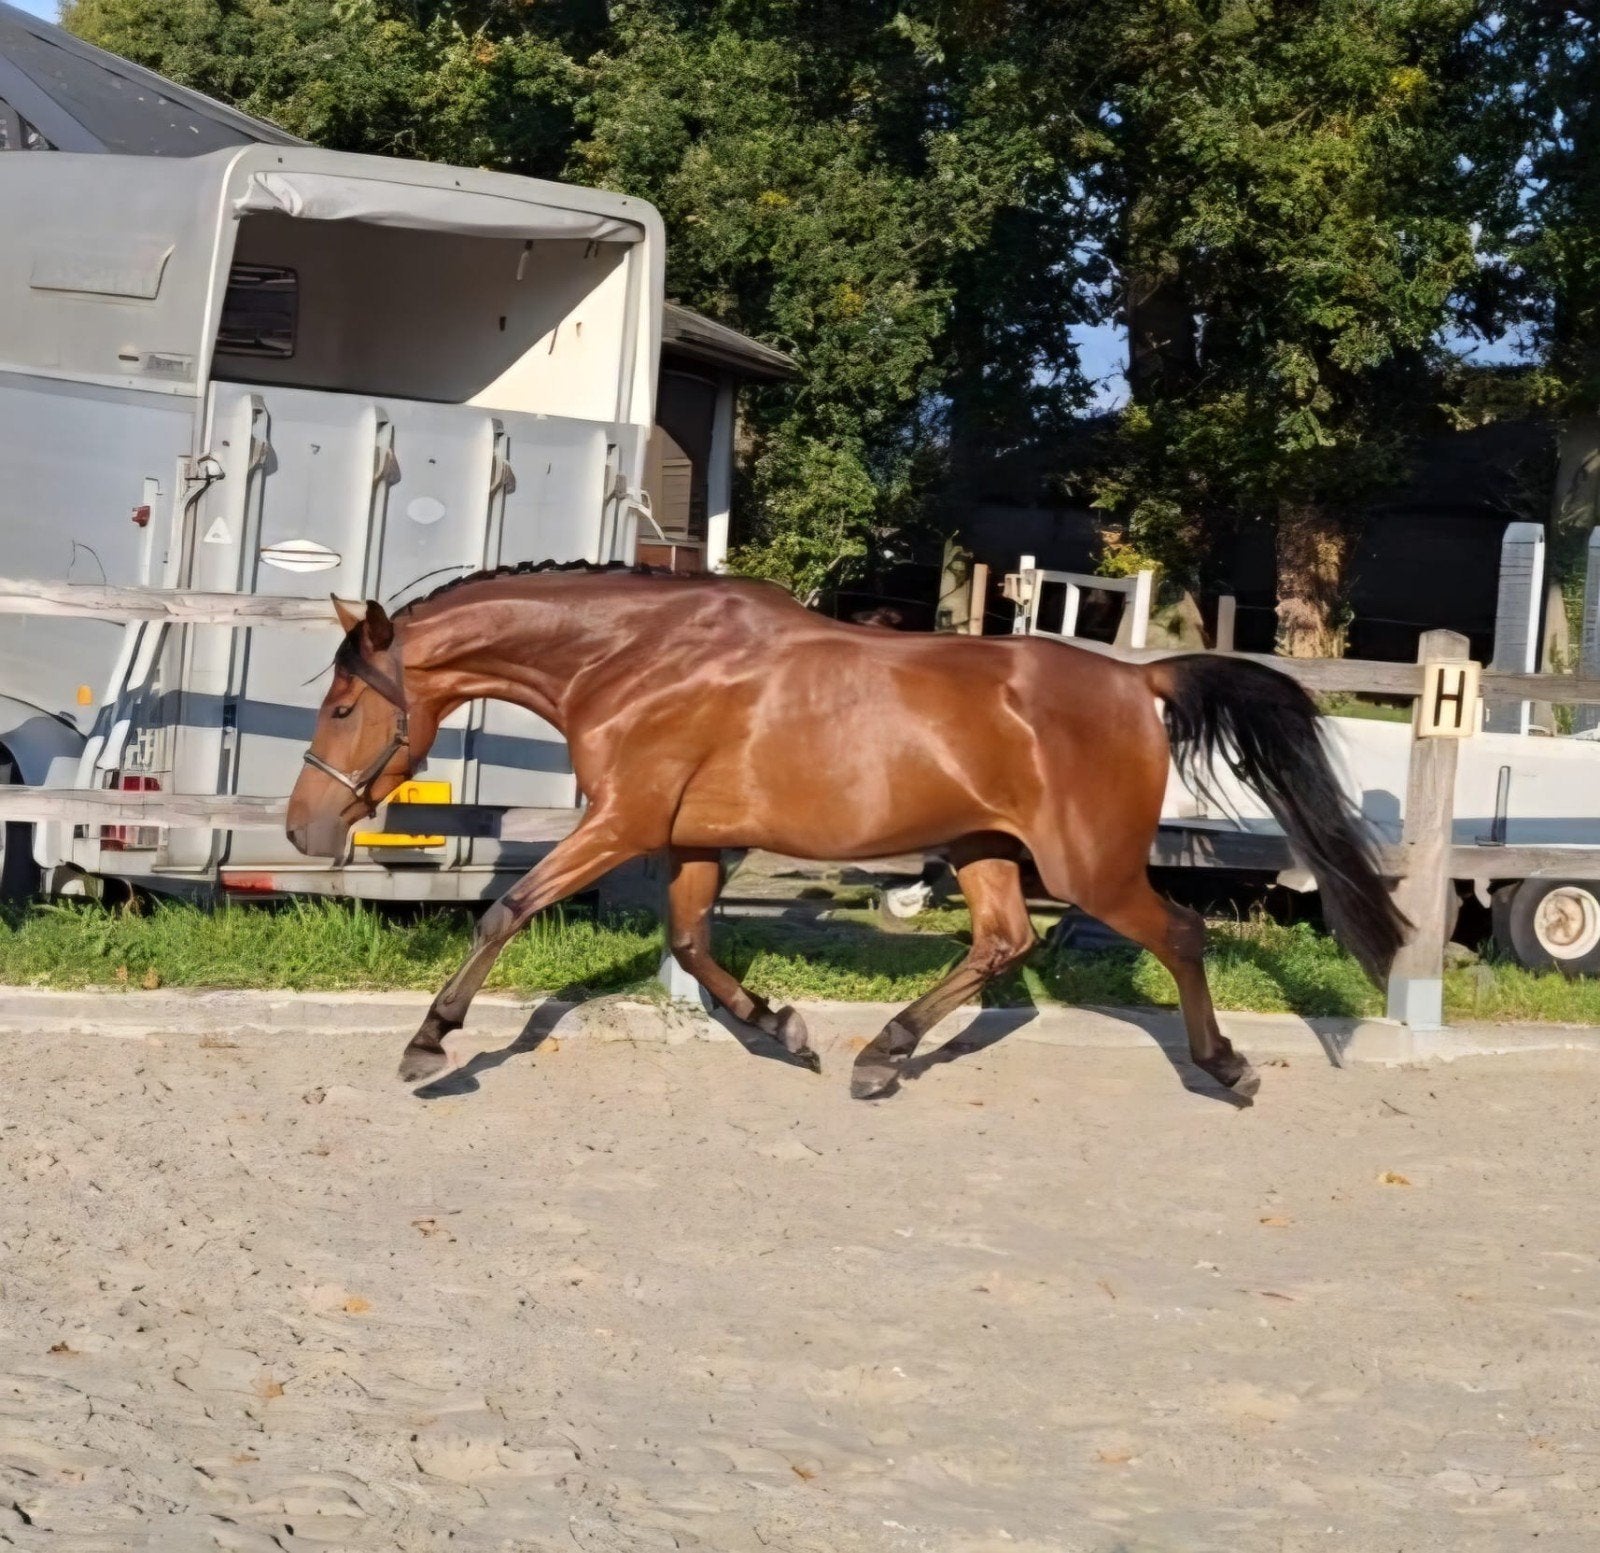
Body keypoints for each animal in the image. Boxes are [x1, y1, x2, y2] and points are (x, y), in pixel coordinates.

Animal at [286, 561, 1407, 1101]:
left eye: (342, 704)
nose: (302, 827)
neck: (637, 660)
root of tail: (1142, 681)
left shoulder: (624, 820)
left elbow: (508, 910)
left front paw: (429, 1042)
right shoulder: (691, 841)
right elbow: (693, 941)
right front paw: (786, 1027)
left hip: (1088, 865)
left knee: (1178, 933)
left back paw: (1226, 1066)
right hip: (982, 848)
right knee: (1003, 941)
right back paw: (881, 1053)